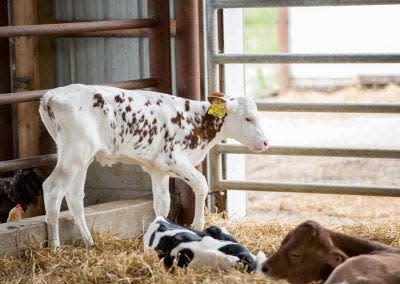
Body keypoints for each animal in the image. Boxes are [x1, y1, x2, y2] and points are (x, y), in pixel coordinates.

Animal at [39, 83, 268, 247]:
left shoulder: (158, 169)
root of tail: (52, 95)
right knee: (53, 190)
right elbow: (202, 184)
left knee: (74, 196)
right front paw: (197, 225)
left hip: (81, 157)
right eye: (248, 118)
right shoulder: (173, 158)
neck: (195, 121)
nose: (266, 143)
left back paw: (89, 242)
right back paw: (55, 246)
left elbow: (162, 204)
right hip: (75, 153)